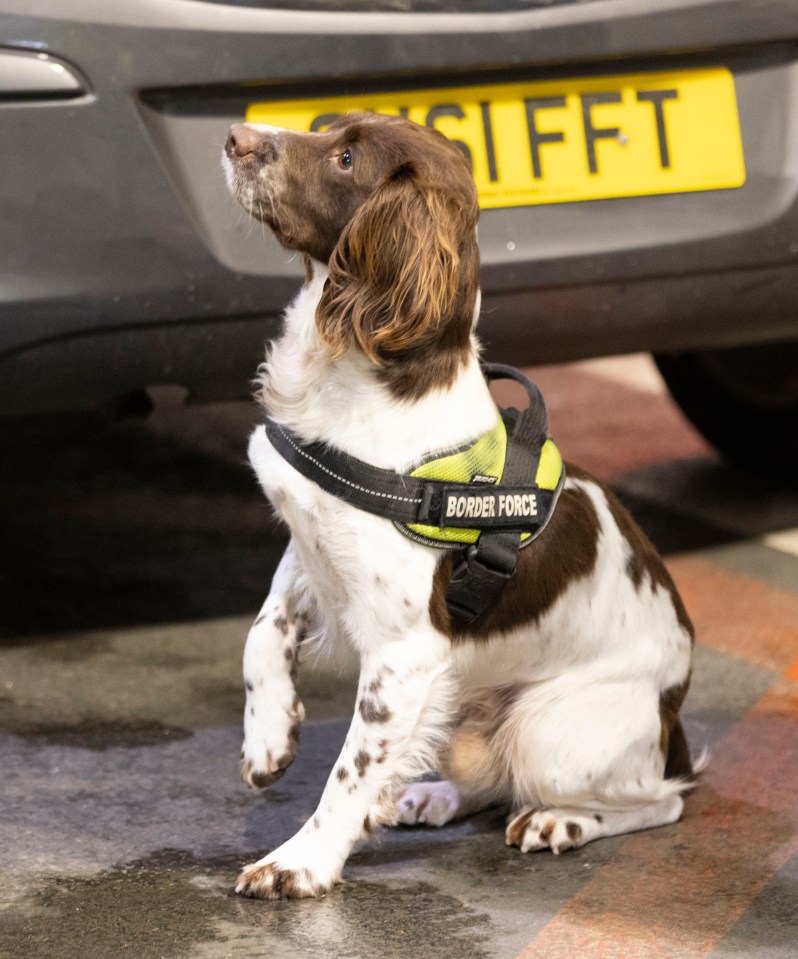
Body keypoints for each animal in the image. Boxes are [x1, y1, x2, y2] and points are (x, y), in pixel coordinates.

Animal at [222, 112, 696, 900]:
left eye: (345, 158)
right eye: (325, 130)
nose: (234, 135)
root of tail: (674, 718)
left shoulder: (404, 656)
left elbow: (349, 771)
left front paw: (300, 862)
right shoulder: (311, 542)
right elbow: (262, 632)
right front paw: (269, 737)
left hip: (551, 730)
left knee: (659, 800)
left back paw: (559, 820)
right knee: (482, 778)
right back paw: (430, 795)